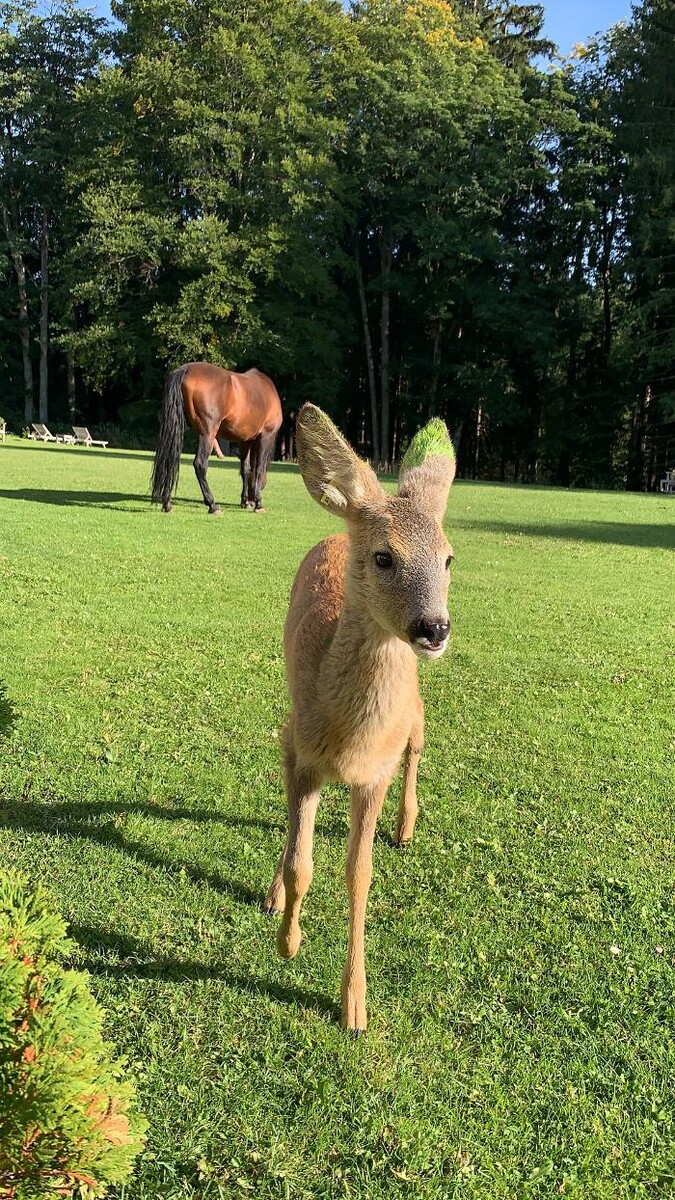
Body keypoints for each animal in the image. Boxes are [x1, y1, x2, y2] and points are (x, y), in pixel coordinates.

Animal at [149, 357, 281, 513]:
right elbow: (259, 468)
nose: (252, 498)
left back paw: (167, 503)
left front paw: (245, 501)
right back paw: (212, 504)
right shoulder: (266, 435)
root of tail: (184, 370)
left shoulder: (246, 440)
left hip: (179, 429)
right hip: (208, 432)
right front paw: (258, 503)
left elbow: (246, 470)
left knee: (170, 459)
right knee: (200, 464)